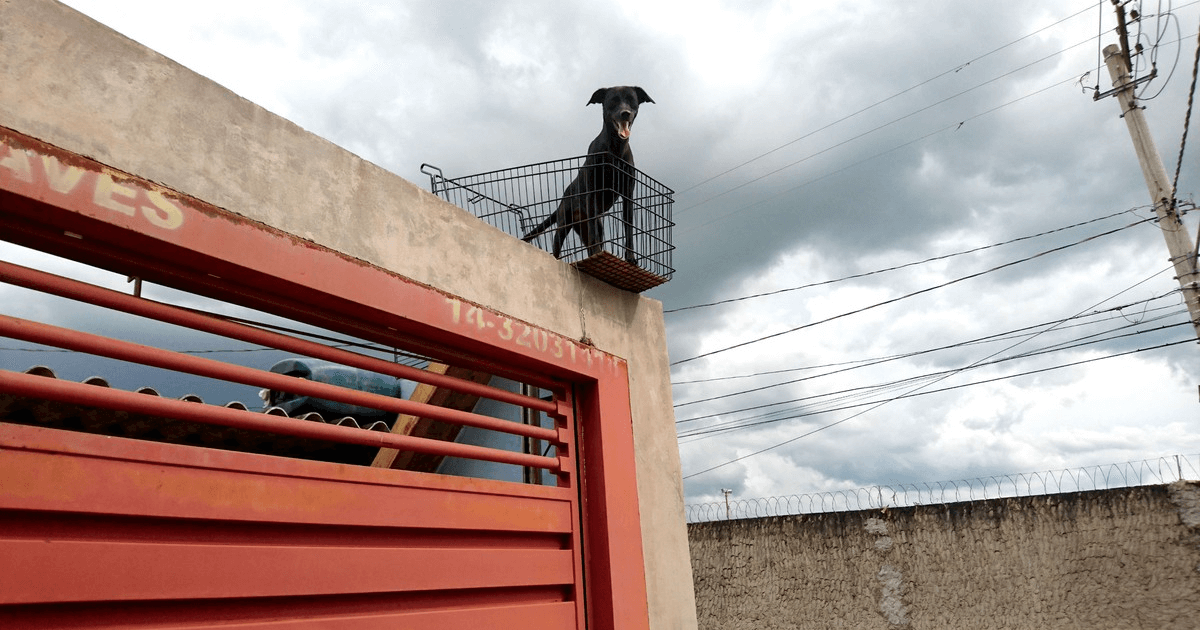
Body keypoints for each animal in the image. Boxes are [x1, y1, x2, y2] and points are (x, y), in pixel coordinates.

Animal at [523, 84, 657, 261]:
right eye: (613, 101)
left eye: (631, 100)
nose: (625, 113)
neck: (614, 150)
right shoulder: (592, 192)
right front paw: (597, 253)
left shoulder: (628, 194)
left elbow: (628, 227)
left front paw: (630, 257)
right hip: (564, 222)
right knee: (559, 245)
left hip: (591, 227)